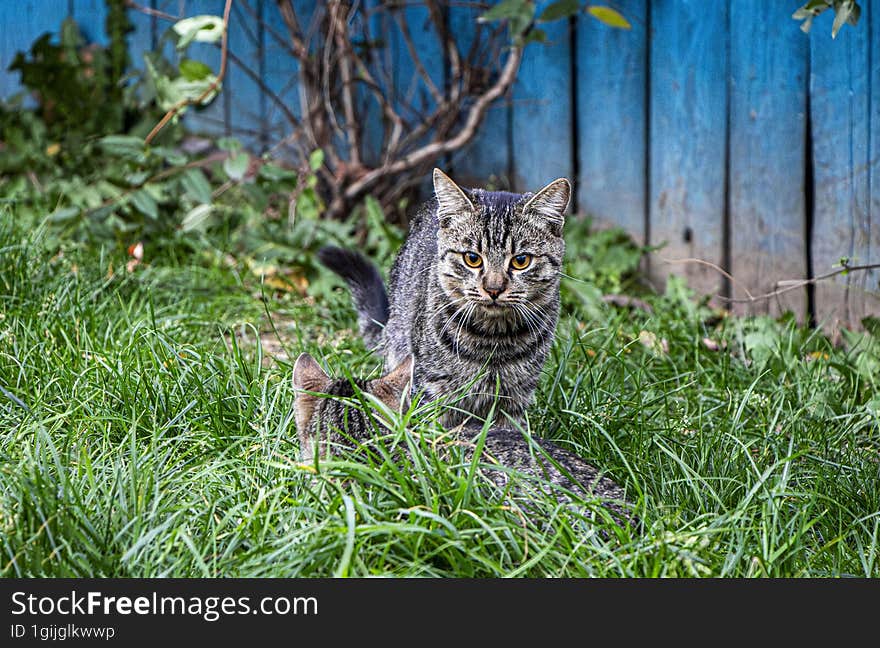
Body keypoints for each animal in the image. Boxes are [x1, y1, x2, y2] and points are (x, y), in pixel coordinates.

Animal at [318, 170, 572, 428]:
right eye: (472, 258)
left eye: (521, 260)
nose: (493, 288)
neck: (493, 340)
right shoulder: (430, 389)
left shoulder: (516, 397)